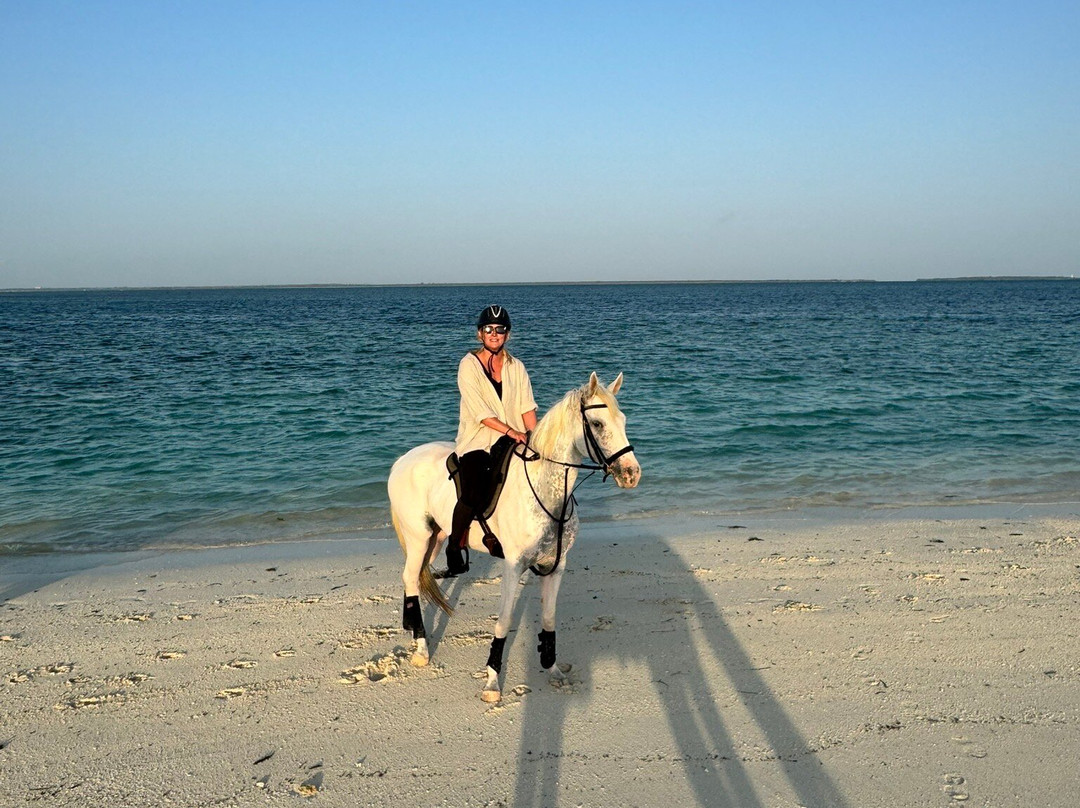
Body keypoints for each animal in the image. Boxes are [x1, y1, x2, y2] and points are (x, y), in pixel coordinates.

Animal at [388, 372, 641, 702]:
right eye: (597, 424)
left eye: (622, 420)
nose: (631, 474)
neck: (545, 490)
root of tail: (402, 460)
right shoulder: (513, 566)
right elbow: (504, 621)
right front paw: (492, 681)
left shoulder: (555, 566)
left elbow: (548, 618)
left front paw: (553, 669)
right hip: (418, 536)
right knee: (409, 577)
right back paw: (421, 649)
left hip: (437, 536)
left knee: (417, 577)